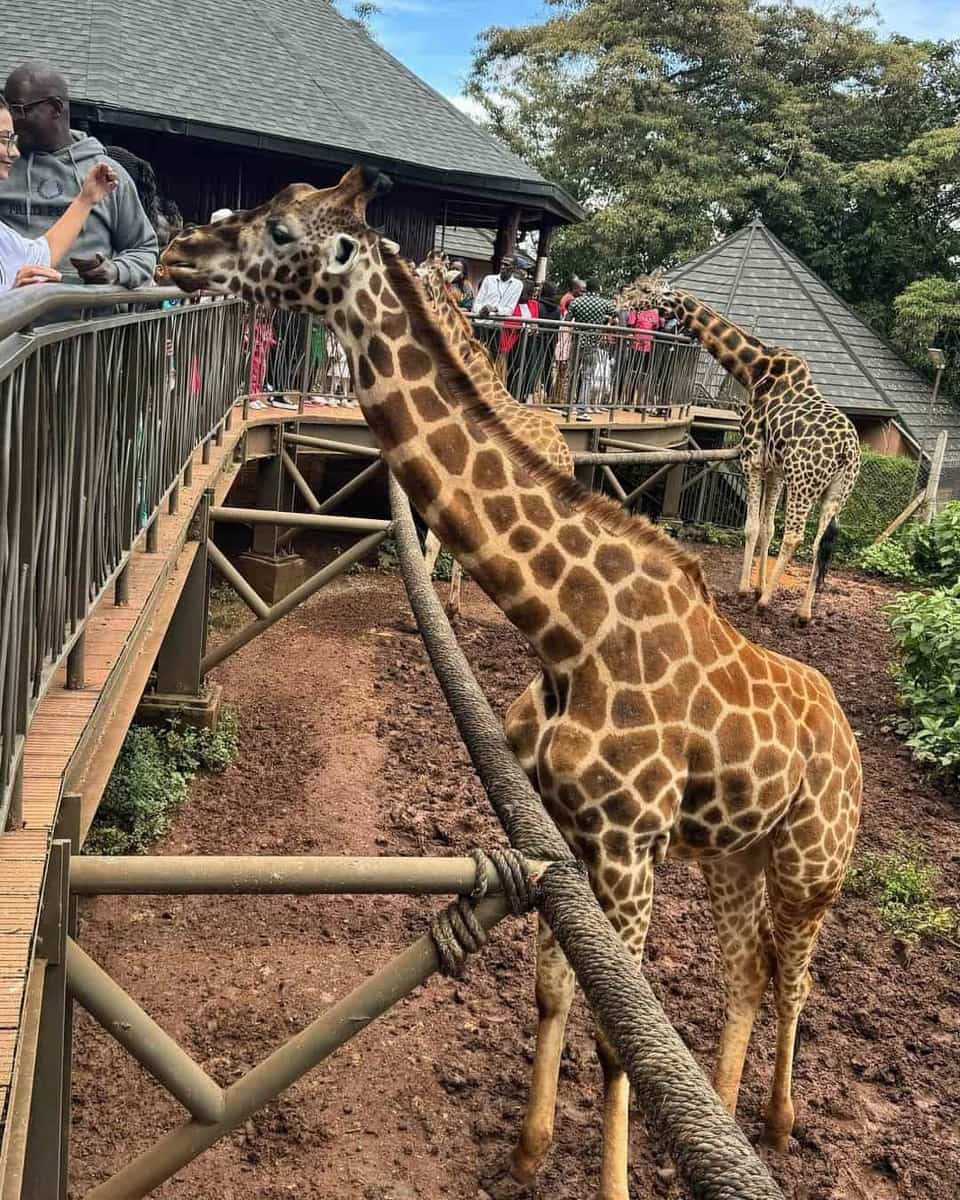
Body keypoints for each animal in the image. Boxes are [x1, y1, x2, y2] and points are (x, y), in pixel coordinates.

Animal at [620, 275, 861, 623]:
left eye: (645, 290)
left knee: (796, 536)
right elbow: (767, 528)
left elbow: (751, 527)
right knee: (820, 542)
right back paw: (803, 613)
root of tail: (847, 451)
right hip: (837, 491)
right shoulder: (775, 469)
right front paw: (757, 586)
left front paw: (747, 590)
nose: (621, 299)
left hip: (804, 483)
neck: (755, 371)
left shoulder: (752, 457)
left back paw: (768, 603)